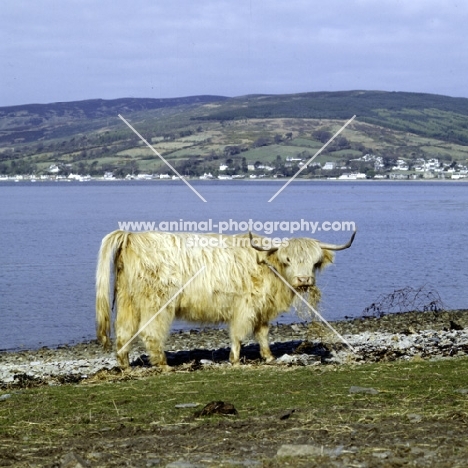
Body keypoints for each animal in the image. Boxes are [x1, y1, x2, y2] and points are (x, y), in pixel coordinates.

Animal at [97, 230, 356, 370]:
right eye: (288, 259)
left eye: (314, 261)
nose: (304, 279)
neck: (267, 266)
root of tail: (131, 235)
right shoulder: (246, 305)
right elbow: (239, 333)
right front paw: (235, 359)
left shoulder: (262, 308)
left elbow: (262, 333)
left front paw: (268, 356)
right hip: (156, 302)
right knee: (150, 332)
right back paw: (162, 363)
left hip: (127, 300)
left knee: (124, 332)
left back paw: (125, 365)